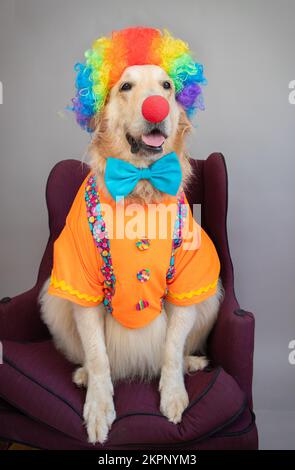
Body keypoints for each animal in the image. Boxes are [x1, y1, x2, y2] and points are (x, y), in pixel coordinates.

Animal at [38, 27, 223, 446]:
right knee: (88, 356)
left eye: (167, 86)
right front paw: (98, 405)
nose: (156, 108)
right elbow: (97, 355)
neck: (140, 183)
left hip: (211, 298)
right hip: (54, 302)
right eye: (125, 86)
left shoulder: (188, 281)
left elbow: (171, 349)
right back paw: (83, 375)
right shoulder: (81, 283)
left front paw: (173, 394)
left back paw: (192, 363)